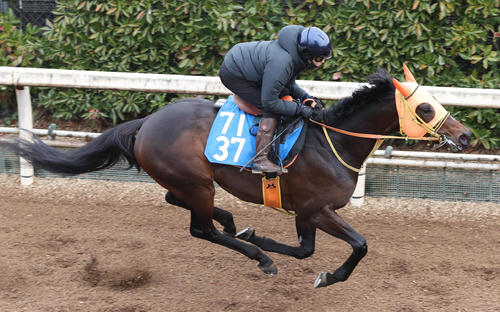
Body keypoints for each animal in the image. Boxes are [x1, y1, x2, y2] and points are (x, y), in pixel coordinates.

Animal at [5, 67, 470, 288]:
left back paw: (234, 225)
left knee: (181, 204)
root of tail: (147, 122)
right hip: (195, 181)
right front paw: (322, 275)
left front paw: (254, 233)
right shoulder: (317, 208)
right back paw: (256, 256)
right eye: (425, 108)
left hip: (192, 182)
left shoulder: (304, 212)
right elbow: (358, 245)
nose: (465, 136)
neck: (333, 142)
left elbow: (303, 250)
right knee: (200, 229)